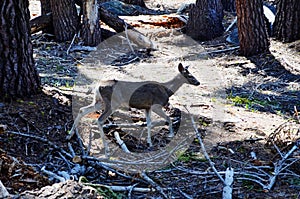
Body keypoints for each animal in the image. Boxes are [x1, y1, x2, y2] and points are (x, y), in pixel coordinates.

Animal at [67, 63, 199, 156]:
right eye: (189, 75)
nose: (198, 82)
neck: (167, 90)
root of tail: (97, 86)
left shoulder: (147, 107)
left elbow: (149, 123)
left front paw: (149, 142)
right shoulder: (156, 105)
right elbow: (168, 118)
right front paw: (170, 134)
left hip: (99, 101)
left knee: (82, 110)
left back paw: (70, 135)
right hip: (112, 103)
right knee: (99, 120)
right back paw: (107, 149)